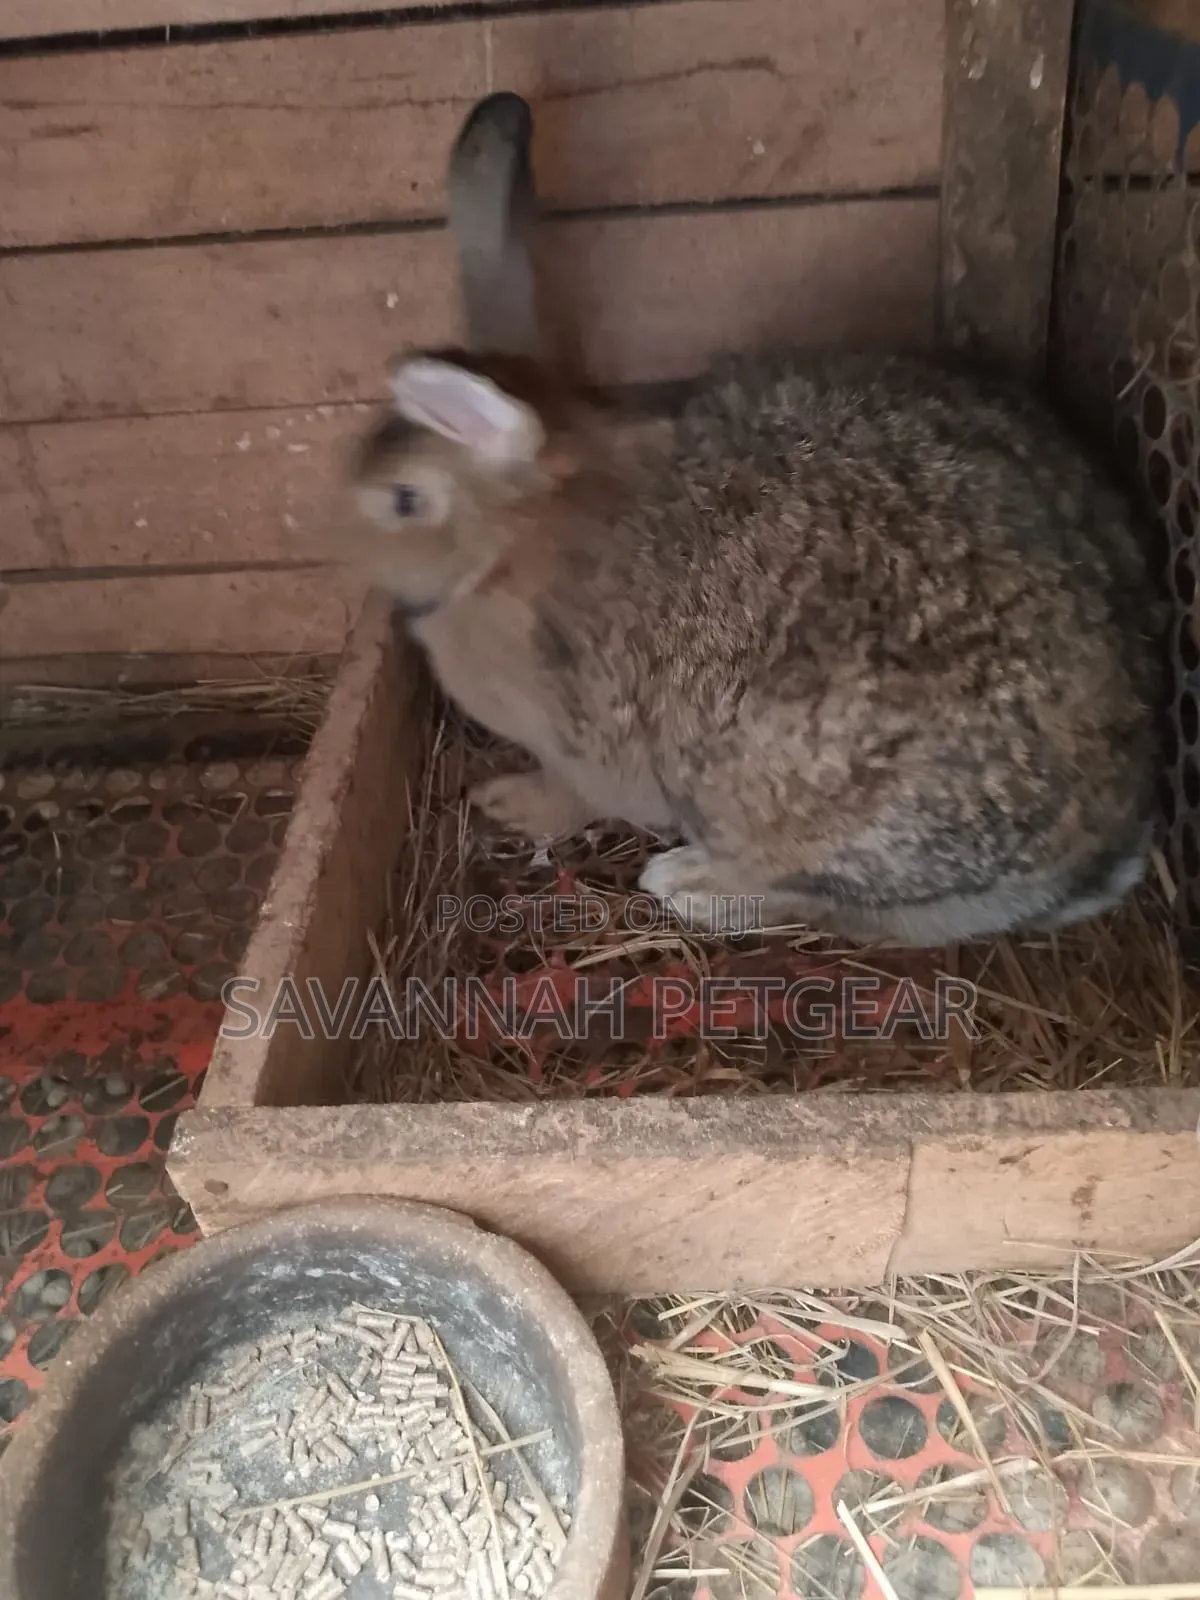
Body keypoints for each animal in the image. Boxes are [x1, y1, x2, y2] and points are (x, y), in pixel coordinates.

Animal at [340, 91, 1167, 946]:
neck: (513, 539)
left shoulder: (581, 743)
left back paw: (688, 883)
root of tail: (1094, 856)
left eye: (403, 500)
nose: (348, 549)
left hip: (793, 803)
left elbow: (576, 796)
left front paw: (509, 804)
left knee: (835, 906)